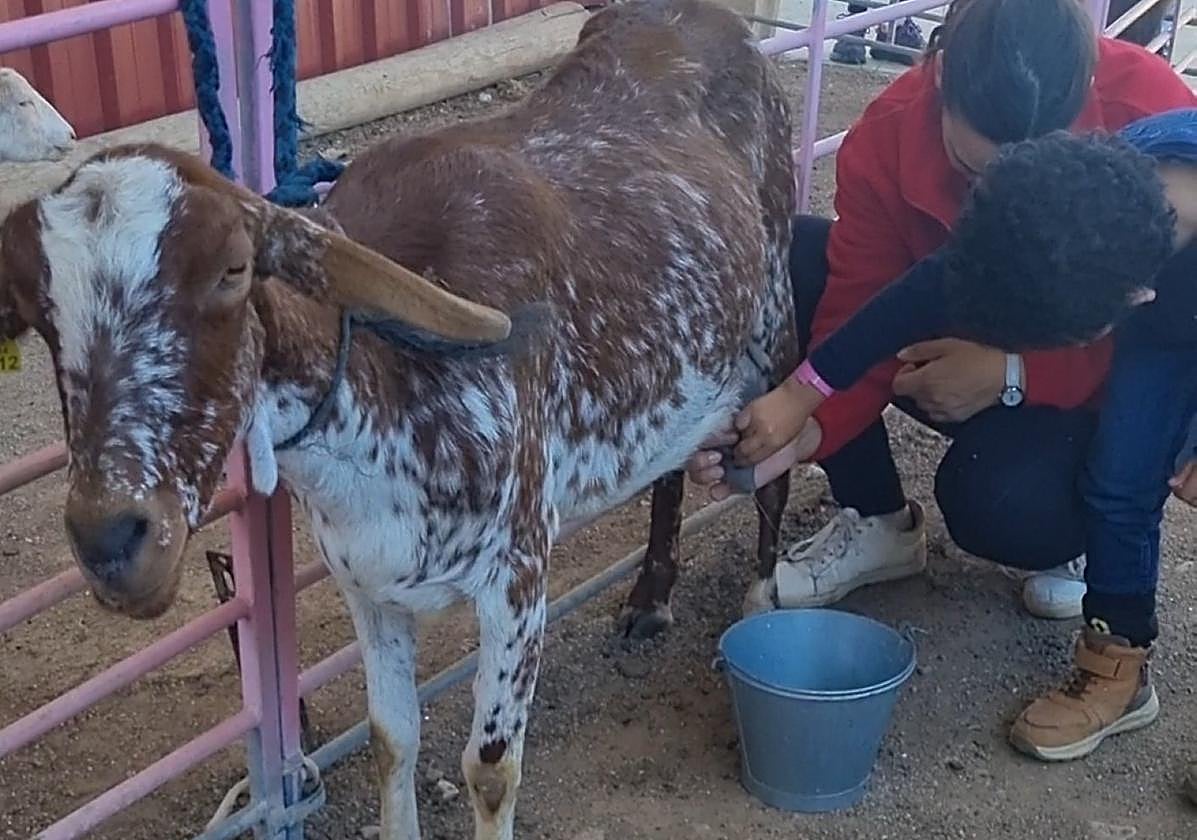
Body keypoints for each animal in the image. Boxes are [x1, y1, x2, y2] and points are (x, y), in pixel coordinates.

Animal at [0, 0, 796, 835]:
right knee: (670, 469)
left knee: (775, 466)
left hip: (771, 324)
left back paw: (760, 600)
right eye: (37, 313)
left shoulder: (518, 574)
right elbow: (392, 737)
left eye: (231, 270)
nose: (111, 541)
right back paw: (649, 596)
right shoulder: (366, 583)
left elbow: (490, 769)